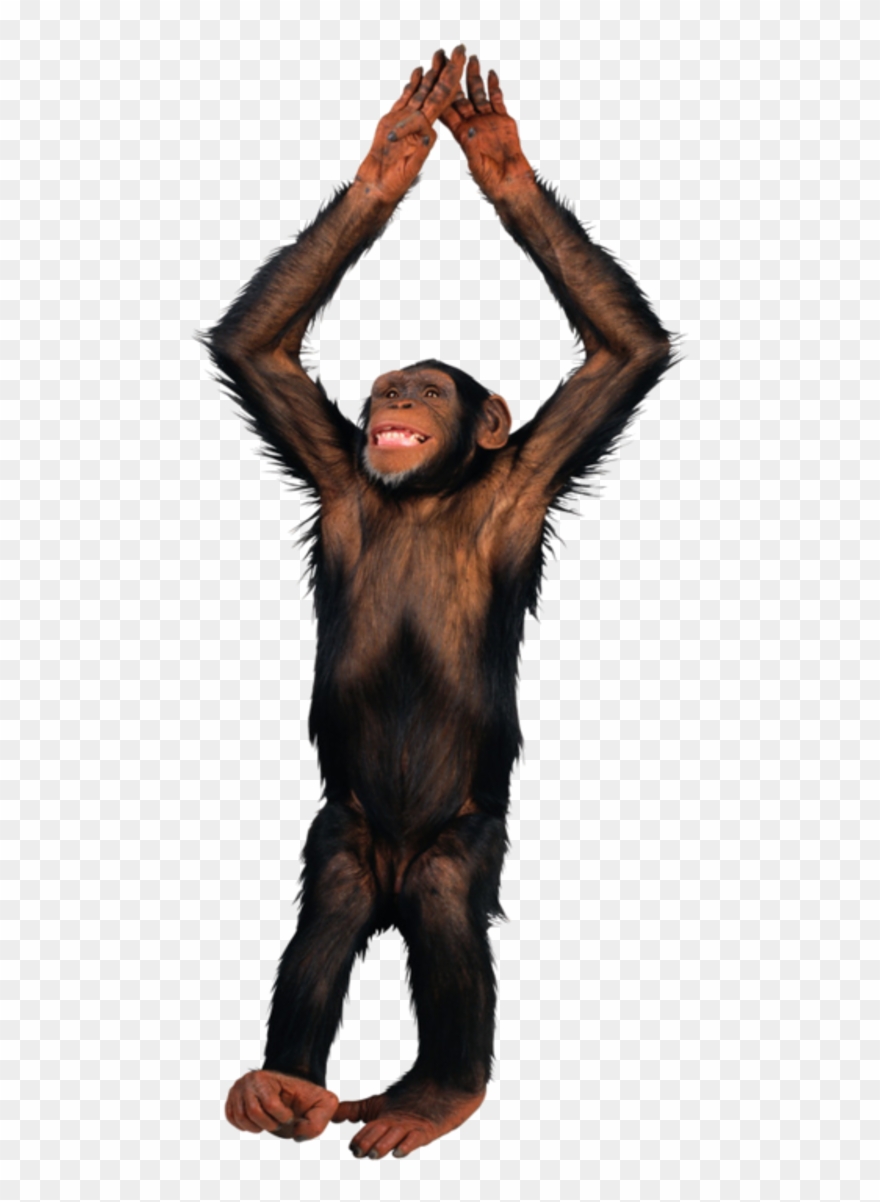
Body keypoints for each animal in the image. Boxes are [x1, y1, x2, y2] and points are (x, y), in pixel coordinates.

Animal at [200, 46, 673, 1160]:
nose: (390, 399)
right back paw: (281, 1085)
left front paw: (500, 159)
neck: (429, 491)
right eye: (382, 389)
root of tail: (392, 874)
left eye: (422, 386)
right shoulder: (336, 465)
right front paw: (395, 153)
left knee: (450, 909)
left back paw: (438, 1091)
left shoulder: (531, 474)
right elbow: (258, 351)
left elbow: (623, 353)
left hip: (461, 839)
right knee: (326, 913)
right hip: (343, 831)